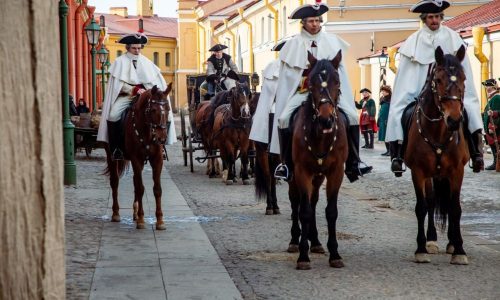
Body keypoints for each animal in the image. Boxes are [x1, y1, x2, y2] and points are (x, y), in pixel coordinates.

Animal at [104, 83, 172, 231]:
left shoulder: (157, 160)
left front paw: (160, 220)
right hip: (111, 156)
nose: (162, 138)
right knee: (115, 182)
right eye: (153, 110)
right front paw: (141, 220)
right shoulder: (136, 159)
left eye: (168, 109)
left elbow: (157, 189)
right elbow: (141, 188)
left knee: (135, 181)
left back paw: (134, 213)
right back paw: (116, 213)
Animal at [286, 51, 348, 270]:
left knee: (313, 202)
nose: (326, 119)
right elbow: (303, 211)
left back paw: (316, 242)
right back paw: (295, 241)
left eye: (337, 81)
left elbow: (330, 211)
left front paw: (335, 253)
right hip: (293, 175)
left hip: (318, 176)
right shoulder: (301, 171)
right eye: (311, 82)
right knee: (296, 201)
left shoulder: (336, 172)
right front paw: (303, 256)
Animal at [404, 45, 470, 264]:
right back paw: (432, 241)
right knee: (432, 201)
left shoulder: (457, 172)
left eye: (464, 78)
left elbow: (455, 207)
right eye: (438, 80)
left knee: (447, 203)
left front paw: (459, 250)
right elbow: (422, 206)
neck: (439, 132)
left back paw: (451, 243)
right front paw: (421, 249)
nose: (454, 120)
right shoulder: (418, 172)